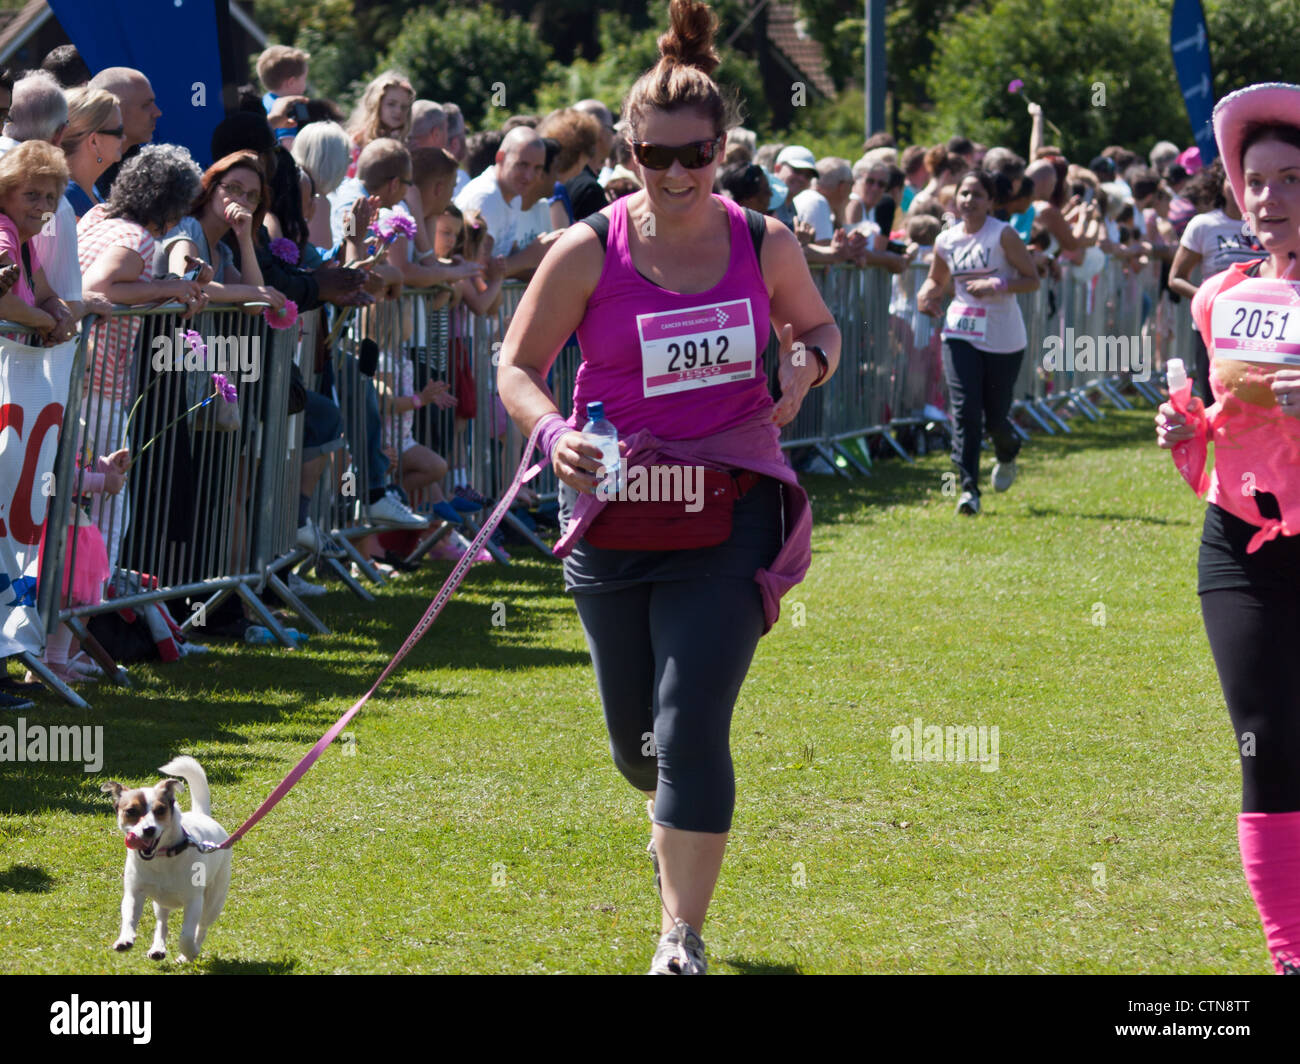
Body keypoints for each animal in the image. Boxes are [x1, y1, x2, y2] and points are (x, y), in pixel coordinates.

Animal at [104, 754, 233, 962]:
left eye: (160, 810)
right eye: (131, 811)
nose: (148, 829)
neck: (162, 857)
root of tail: (201, 815)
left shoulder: (194, 901)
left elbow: (186, 935)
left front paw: (189, 952)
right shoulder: (134, 893)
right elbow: (129, 917)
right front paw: (125, 939)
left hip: (213, 902)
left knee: (202, 927)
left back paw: (190, 952)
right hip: (161, 901)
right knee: (161, 922)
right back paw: (158, 947)